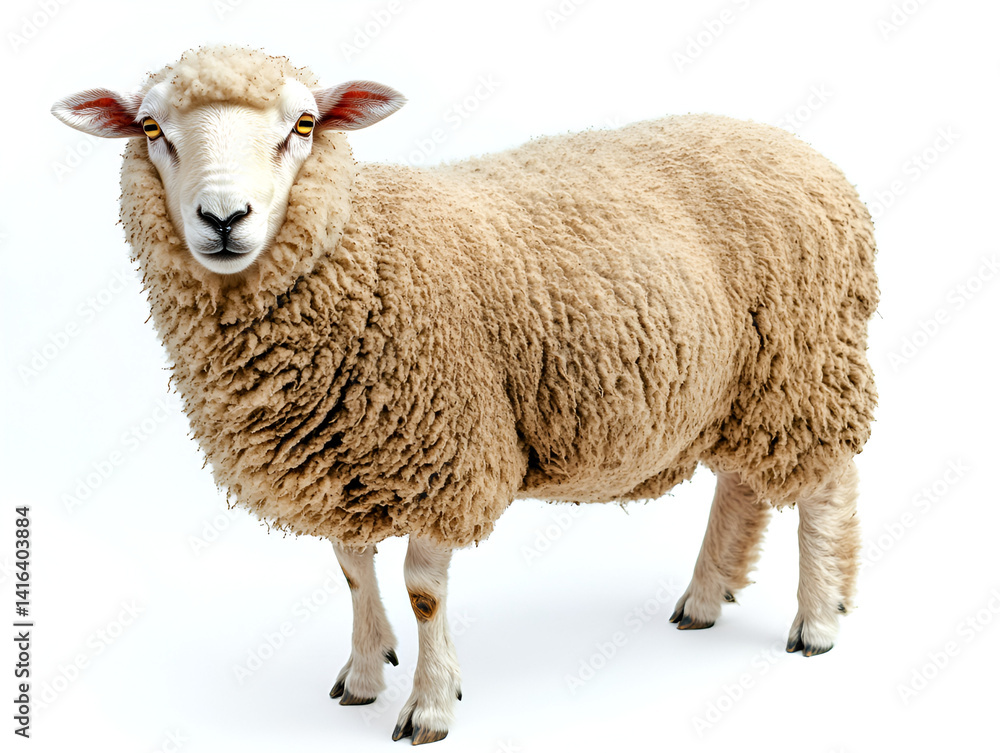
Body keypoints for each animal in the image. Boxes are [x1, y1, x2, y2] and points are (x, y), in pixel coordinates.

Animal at [52, 45, 878, 745]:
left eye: (304, 125)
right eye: (152, 127)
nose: (223, 219)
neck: (365, 251)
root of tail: (799, 148)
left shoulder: (445, 452)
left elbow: (423, 591)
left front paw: (430, 705)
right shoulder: (342, 453)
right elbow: (352, 570)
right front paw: (362, 674)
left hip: (808, 363)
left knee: (826, 487)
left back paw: (817, 621)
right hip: (745, 383)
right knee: (741, 483)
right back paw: (705, 599)